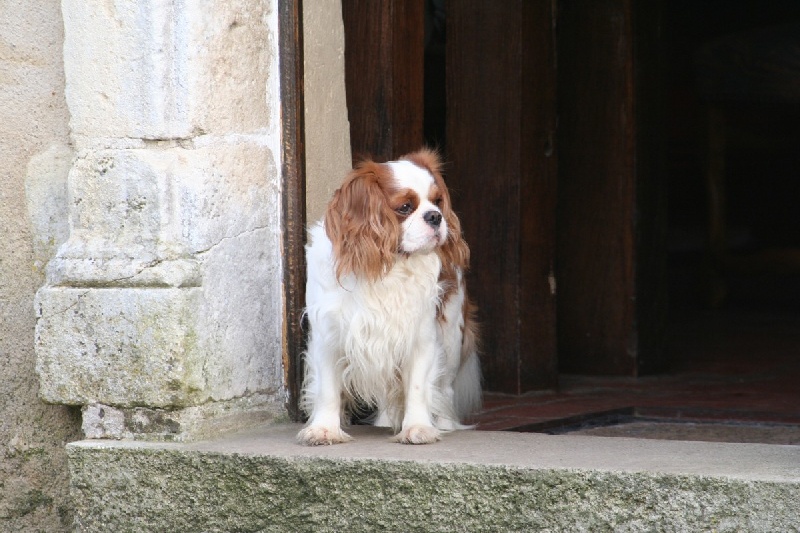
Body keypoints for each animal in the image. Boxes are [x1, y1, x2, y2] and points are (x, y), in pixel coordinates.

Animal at [296, 148, 478, 442]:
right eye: (405, 207)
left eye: (438, 201)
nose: (436, 216)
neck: (389, 266)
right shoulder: (328, 333)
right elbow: (327, 390)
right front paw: (324, 429)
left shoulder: (422, 335)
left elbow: (417, 386)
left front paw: (418, 428)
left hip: (451, 335)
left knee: (446, 387)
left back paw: (445, 423)